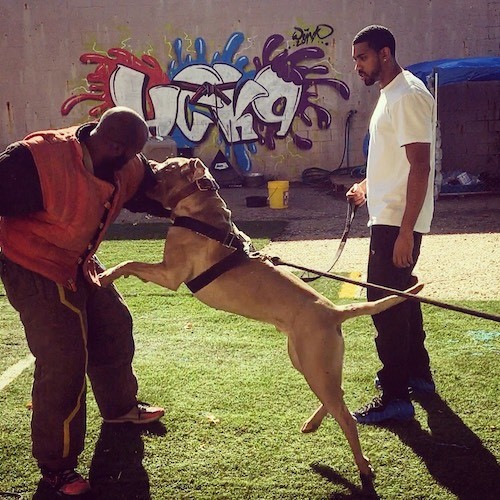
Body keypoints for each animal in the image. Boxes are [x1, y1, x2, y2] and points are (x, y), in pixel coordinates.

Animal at [99, 157, 424, 480]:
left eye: (167, 167)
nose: (147, 162)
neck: (202, 212)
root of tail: (335, 311)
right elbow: (133, 264)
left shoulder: (169, 274)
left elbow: (131, 262)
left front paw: (105, 275)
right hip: (311, 362)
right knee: (337, 396)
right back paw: (313, 423)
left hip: (315, 365)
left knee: (344, 415)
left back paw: (362, 465)